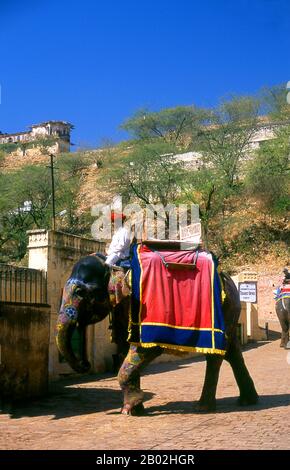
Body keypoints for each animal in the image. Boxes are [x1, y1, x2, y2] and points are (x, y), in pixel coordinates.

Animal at [56, 253, 258, 414]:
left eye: (80, 292)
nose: (85, 364)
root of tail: (231, 281)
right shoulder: (123, 308)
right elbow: (125, 347)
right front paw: (133, 410)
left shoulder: (146, 307)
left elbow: (145, 348)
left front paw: (132, 406)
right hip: (230, 313)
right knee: (233, 352)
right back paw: (247, 401)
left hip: (225, 310)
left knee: (216, 356)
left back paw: (203, 408)